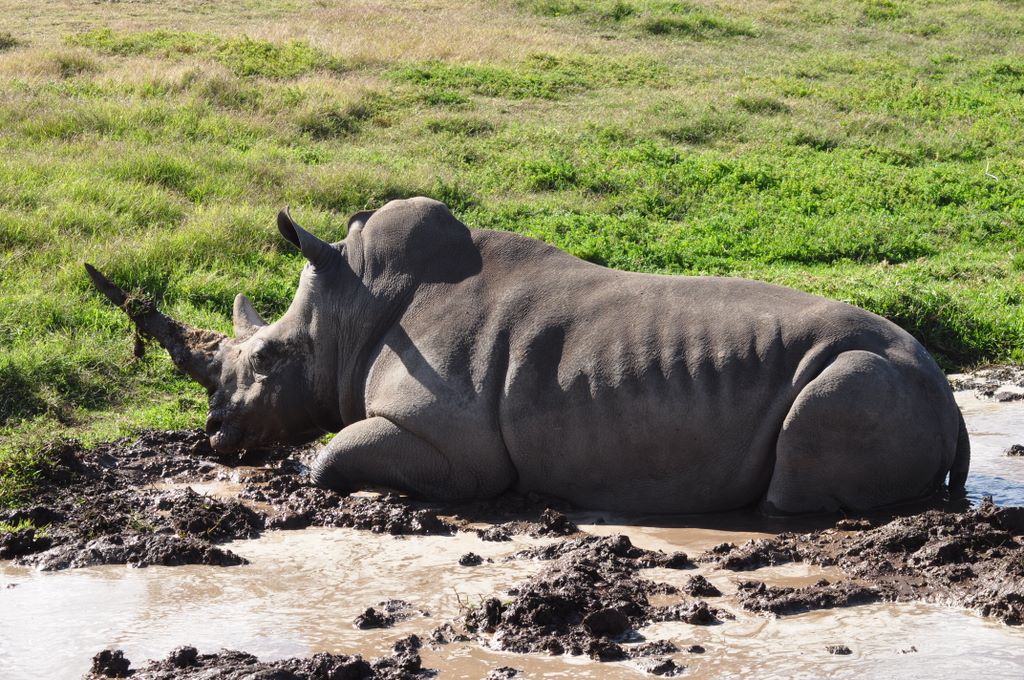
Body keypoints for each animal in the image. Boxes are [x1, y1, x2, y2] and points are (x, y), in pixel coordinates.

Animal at [85, 197, 969, 514]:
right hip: (891, 382)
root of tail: (948, 398)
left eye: (269, 359)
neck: (351, 308)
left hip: (863, 380)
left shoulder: (450, 444)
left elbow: (330, 457)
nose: (216, 434)